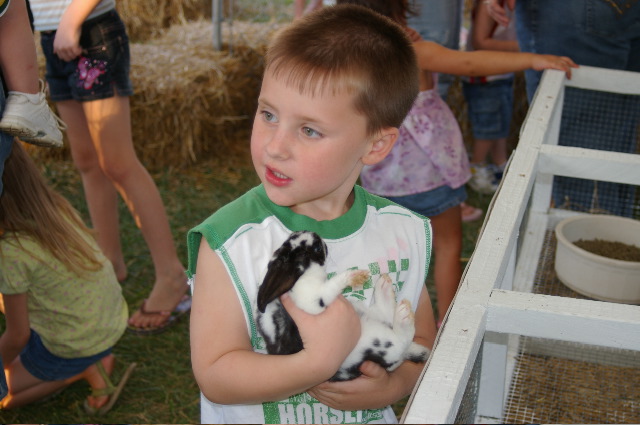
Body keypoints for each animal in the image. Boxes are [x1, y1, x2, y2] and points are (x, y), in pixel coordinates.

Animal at [255, 230, 430, 382]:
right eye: (307, 252)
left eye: (291, 238)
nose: (315, 234)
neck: (300, 278)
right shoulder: (312, 302)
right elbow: (331, 286)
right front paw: (354, 276)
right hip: (381, 342)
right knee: (402, 339)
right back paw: (403, 314)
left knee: (387, 314)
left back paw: (384, 286)